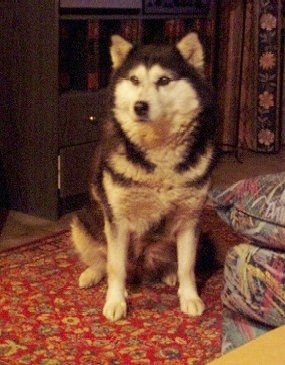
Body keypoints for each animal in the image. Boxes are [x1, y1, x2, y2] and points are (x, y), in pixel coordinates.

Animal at [70, 32, 215, 320]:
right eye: (134, 80)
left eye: (164, 80)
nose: (140, 106)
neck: (158, 150)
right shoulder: (117, 221)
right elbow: (115, 267)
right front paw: (116, 301)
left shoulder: (190, 218)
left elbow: (187, 266)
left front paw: (189, 296)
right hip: (81, 221)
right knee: (102, 260)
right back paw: (92, 274)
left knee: (171, 261)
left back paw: (168, 274)